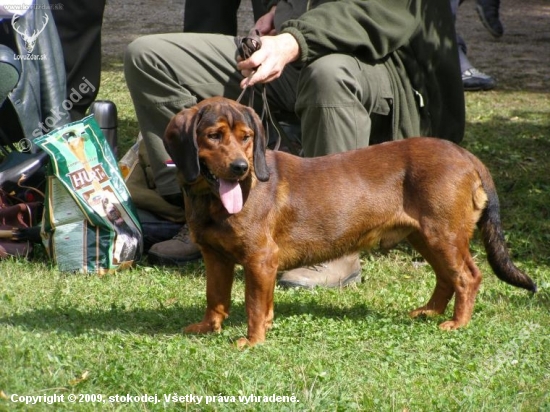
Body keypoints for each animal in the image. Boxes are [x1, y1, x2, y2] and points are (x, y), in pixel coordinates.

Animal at [164, 96, 540, 348]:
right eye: (214, 136)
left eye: (246, 137)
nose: (241, 168)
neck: (212, 201)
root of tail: (467, 155)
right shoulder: (216, 258)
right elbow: (216, 297)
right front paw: (207, 328)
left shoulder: (260, 260)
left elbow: (255, 306)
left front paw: (253, 341)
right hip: (425, 237)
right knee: (447, 278)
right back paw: (429, 312)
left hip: (444, 235)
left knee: (468, 277)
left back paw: (457, 323)